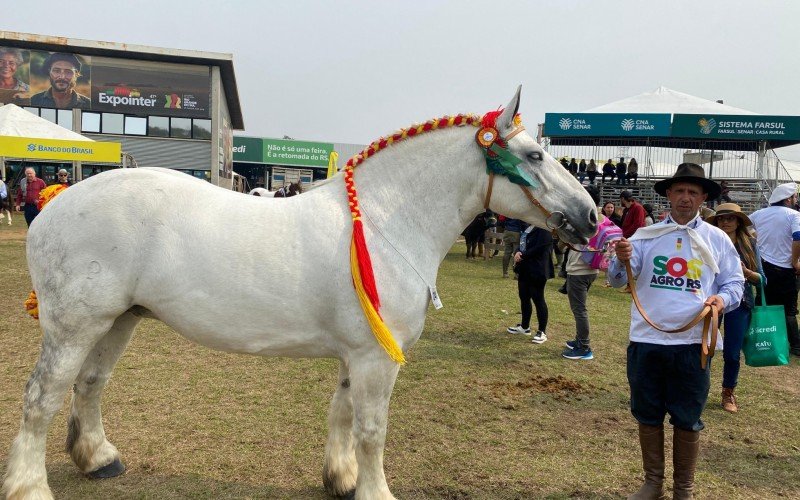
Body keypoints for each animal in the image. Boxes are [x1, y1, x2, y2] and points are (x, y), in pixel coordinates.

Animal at [3, 88, 596, 498]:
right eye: (534, 156)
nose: (589, 217)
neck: (383, 222)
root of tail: (53, 205)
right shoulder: (378, 358)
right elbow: (372, 429)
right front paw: (374, 490)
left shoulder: (358, 353)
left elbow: (343, 415)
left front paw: (342, 479)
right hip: (74, 327)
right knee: (41, 398)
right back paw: (30, 485)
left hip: (118, 320)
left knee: (89, 386)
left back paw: (98, 458)